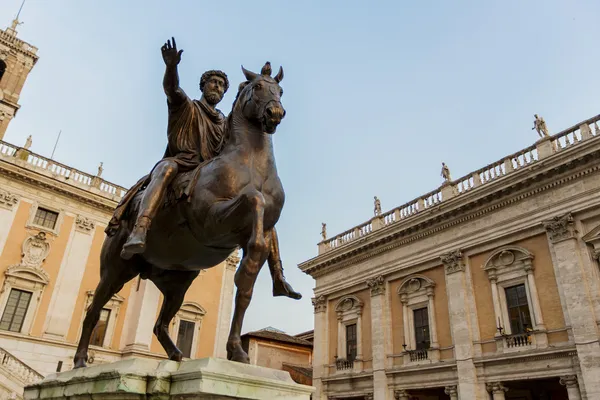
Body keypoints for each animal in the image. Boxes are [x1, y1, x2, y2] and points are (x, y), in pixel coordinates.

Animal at [74, 63, 290, 368]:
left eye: (279, 90)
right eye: (258, 86)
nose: (275, 113)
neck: (251, 164)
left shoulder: (265, 226)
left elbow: (246, 286)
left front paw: (236, 350)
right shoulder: (211, 220)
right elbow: (253, 200)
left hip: (178, 282)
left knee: (160, 324)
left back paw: (176, 355)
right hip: (115, 271)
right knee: (94, 310)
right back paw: (80, 360)